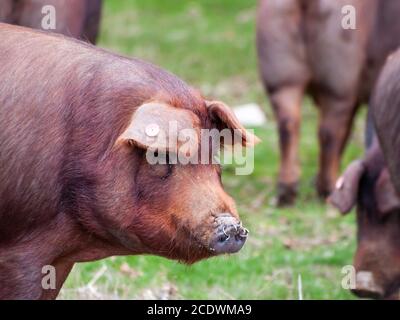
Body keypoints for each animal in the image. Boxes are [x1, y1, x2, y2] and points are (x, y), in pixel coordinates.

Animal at [256, 0, 400, 205]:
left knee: (288, 126)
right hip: (338, 88)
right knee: (329, 133)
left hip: (283, 81)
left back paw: (287, 191)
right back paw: (327, 189)